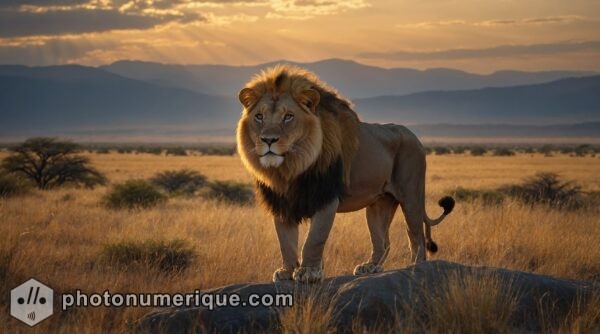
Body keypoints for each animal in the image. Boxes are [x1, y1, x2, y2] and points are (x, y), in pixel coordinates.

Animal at [237, 64, 452, 282]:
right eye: (259, 117)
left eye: (288, 116)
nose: (268, 140)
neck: (290, 169)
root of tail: (415, 137)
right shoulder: (282, 203)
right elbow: (285, 242)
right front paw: (287, 272)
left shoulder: (326, 198)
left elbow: (313, 240)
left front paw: (308, 272)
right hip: (379, 203)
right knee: (383, 241)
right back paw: (370, 267)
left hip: (411, 196)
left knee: (416, 235)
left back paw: (415, 267)